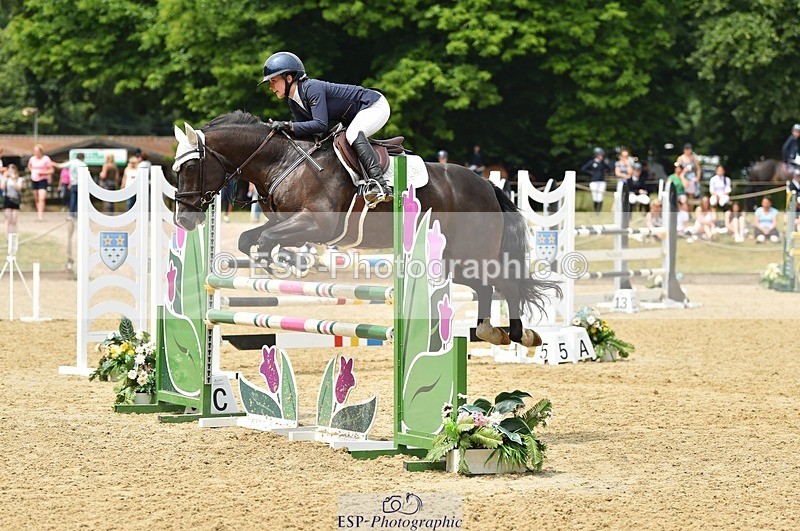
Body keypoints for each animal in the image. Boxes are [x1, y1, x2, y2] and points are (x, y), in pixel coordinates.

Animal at [171, 111, 560, 348]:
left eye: (189, 167)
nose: (184, 220)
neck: (282, 160)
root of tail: (487, 185)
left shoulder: (318, 224)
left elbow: (265, 240)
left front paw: (287, 263)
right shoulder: (286, 221)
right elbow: (249, 238)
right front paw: (289, 262)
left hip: (472, 252)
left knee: (504, 283)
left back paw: (519, 335)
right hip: (454, 260)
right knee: (485, 286)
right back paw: (491, 331)